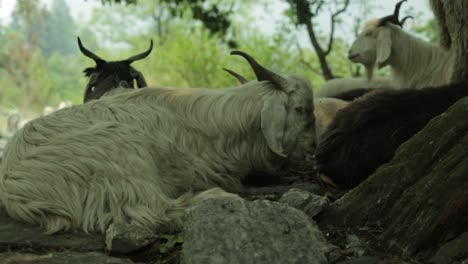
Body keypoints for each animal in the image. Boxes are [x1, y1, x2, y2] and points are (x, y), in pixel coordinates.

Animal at [0, 50, 316, 234]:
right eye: (301, 109)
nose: (313, 149)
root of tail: (15, 187)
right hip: (123, 159)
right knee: (156, 212)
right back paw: (216, 197)